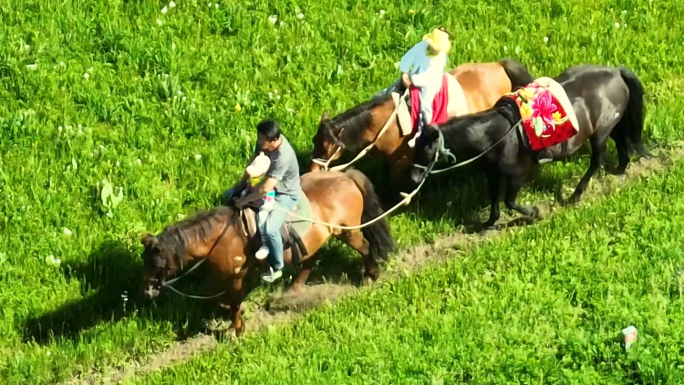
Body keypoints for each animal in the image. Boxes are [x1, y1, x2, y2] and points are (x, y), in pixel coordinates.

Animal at [140, 168, 396, 332]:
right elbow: (216, 297)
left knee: (364, 247)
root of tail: (345, 176)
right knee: (310, 260)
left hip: (347, 231)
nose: (147, 292)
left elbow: (233, 301)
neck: (222, 236)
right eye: (144, 262)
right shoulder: (222, 274)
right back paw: (293, 289)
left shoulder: (236, 276)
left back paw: (370, 276)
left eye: (157, 263)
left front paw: (237, 328)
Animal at [310, 58, 536, 188]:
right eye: (314, 141)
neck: (386, 124)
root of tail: (499, 66)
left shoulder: (400, 160)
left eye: (328, 146)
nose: (311, 172)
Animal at [408, 64, 648, 230]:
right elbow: (494, 199)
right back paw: (620, 170)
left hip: (600, 133)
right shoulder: (493, 173)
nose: (414, 177)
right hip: (612, 125)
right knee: (621, 143)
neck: (497, 134)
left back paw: (575, 196)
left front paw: (534, 212)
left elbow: (509, 201)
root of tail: (616, 72)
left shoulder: (518, 174)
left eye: (427, 149)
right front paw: (489, 224)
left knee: (597, 161)